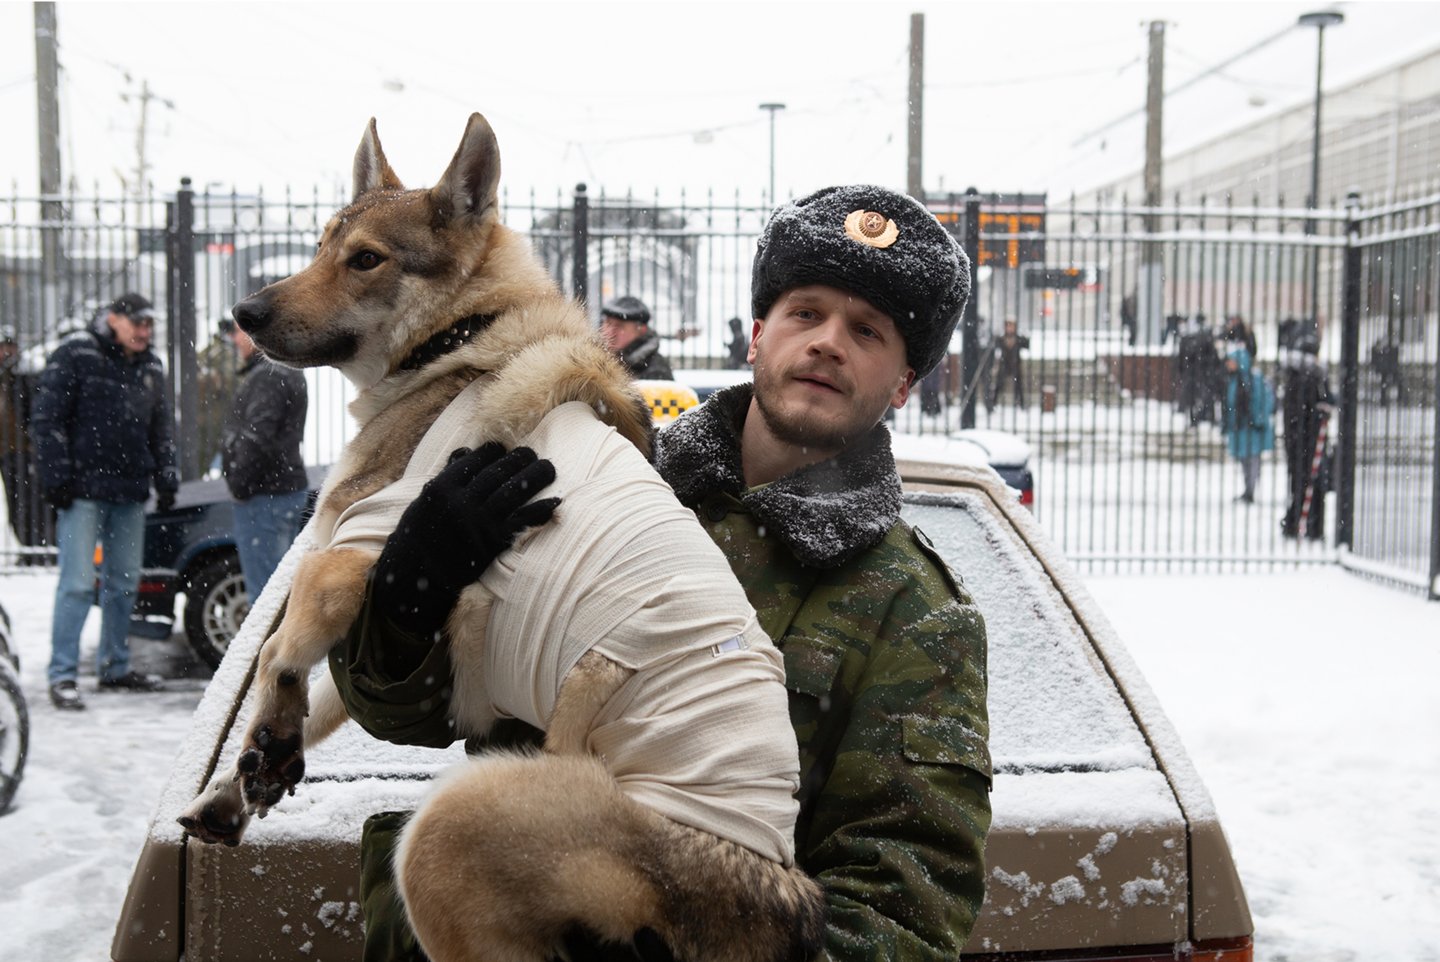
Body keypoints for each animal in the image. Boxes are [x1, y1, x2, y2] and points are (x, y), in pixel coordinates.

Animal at [177, 114, 823, 962]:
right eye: (319, 246)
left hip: (441, 835)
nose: (245, 314)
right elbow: (315, 704)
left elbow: (275, 658)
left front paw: (268, 733)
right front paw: (240, 782)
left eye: (366, 259)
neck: (454, 342)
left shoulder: (360, 558)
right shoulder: (392, 609)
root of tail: (771, 887)